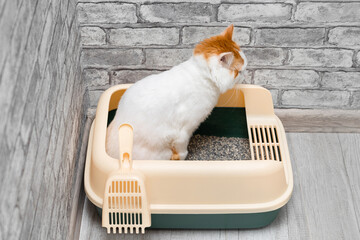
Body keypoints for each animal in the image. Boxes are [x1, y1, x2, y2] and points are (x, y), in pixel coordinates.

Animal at [106, 24, 248, 160]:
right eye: (239, 72)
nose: (245, 74)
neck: (201, 75)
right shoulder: (183, 131)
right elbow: (182, 148)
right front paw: (183, 156)